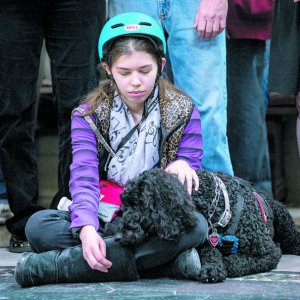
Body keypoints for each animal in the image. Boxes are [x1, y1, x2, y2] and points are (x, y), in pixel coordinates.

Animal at [116, 169, 300, 284]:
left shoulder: (268, 254)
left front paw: (219, 267)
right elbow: (210, 252)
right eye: (124, 205)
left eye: (138, 204)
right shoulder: (208, 241)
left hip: (284, 220)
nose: (118, 236)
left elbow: (235, 262)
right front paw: (212, 267)